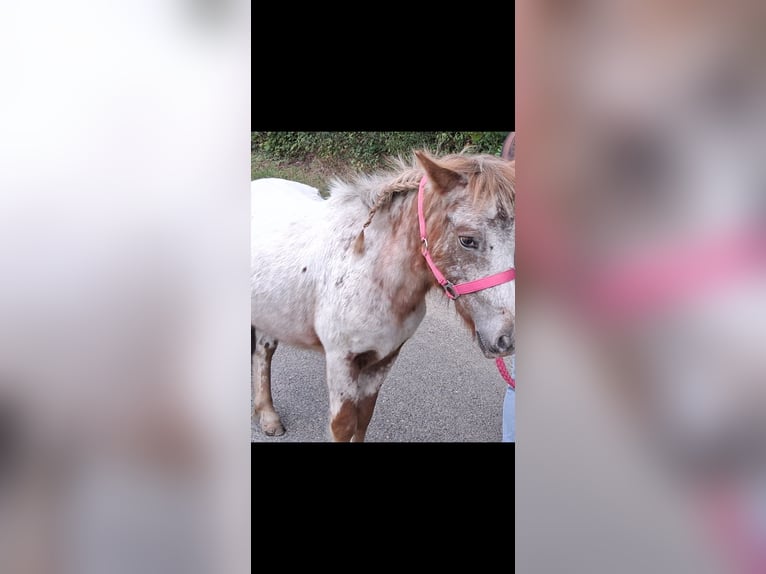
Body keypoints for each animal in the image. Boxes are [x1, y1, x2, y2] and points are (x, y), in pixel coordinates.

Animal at [251, 150, 516, 441]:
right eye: (467, 240)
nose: (508, 338)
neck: (369, 270)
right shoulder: (341, 361)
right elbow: (343, 425)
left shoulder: (384, 358)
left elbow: (364, 417)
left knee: (263, 352)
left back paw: (268, 416)